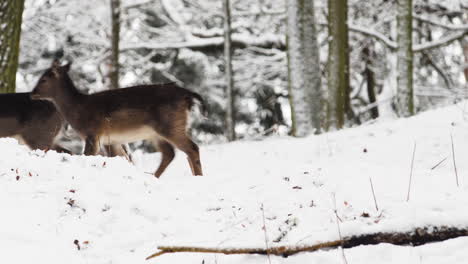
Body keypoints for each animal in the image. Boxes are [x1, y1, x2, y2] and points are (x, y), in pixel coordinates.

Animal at [29, 60, 205, 178]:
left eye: (43, 79)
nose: (32, 93)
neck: (78, 110)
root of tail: (187, 95)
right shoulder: (112, 140)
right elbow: (120, 157)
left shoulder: (93, 133)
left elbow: (88, 155)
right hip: (157, 133)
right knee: (170, 154)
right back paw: (154, 176)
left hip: (170, 124)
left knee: (192, 148)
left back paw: (198, 176)